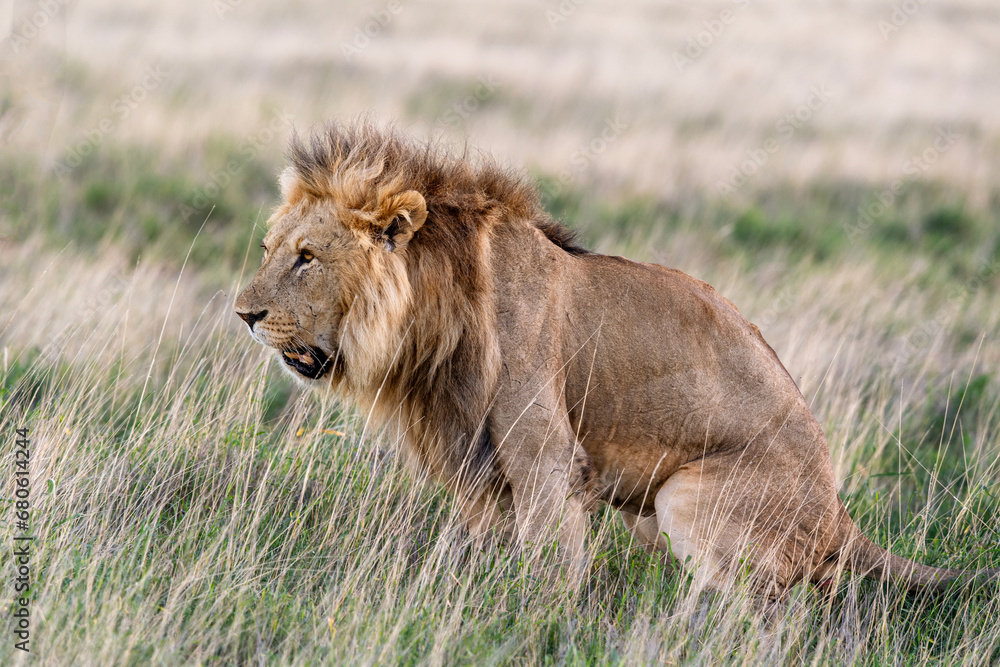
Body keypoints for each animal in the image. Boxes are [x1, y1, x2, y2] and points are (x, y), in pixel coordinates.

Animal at [232, 122, 992, 596]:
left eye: (306, 257)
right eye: (271, 249)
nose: (243, 315)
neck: (430, 321)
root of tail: (839, 512)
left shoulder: (545, 457)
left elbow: (549, 566)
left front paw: (534, 621)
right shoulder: (475, 466)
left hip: (688, 499)